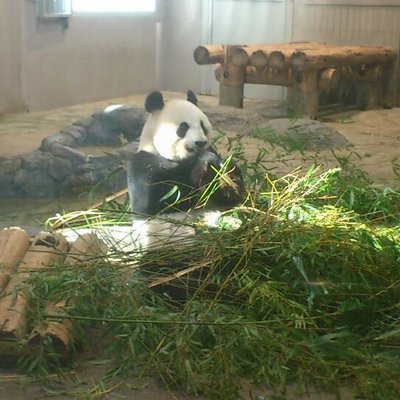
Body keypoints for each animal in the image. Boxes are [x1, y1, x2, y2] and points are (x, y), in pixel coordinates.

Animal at [126, 90, 244, 219]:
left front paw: (226, 171)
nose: (200, 142)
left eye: (203, 126)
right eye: (183, 127)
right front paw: (203, 163)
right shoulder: (145, 163)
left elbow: (230, 196)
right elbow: (157, 200)